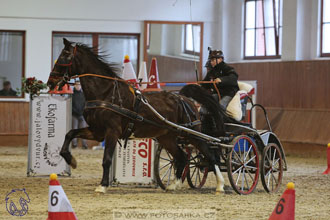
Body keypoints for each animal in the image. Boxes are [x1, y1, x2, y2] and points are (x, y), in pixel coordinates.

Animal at [47, 38, 227, 193]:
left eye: (64, 56)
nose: (50, 82)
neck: (106, 92)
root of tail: (184, 99)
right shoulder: (97, 131)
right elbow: (70, 134)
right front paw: (71, 160)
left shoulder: (112, 131)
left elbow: (106, 159)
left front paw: (103, 185)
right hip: (167, 136)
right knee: (181, 157)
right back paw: (174, 185)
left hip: (192, 134)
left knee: (210, 155)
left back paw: (220, 185)